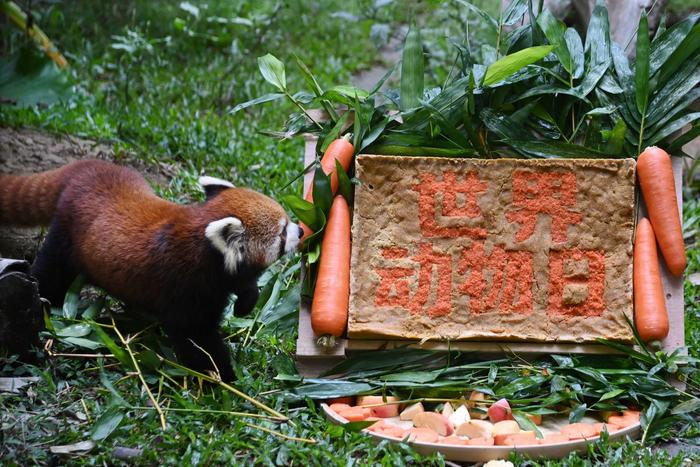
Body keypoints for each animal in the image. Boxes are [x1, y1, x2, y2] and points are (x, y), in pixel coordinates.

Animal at [0, 159, 300, 382]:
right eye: (283, 233)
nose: (301, 230)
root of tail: (85, 168)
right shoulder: (185, 289)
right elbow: (196, 338)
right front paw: (221, 376)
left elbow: (244, 284)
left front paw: (245, 304)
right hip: (66, 236)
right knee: (52, 272)